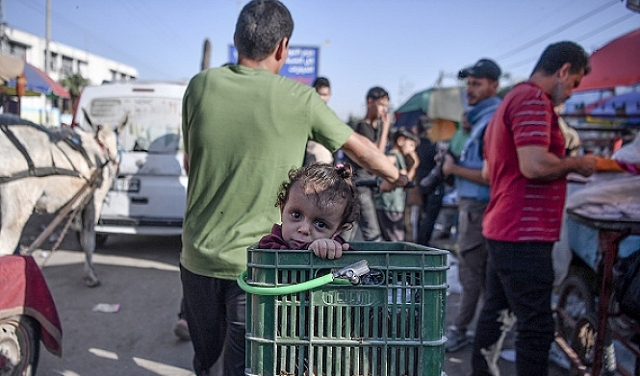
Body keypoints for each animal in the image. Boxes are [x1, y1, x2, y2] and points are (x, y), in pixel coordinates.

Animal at [0, 113, 122, 286]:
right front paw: (90, 275)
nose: (116, 164)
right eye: (117, 141)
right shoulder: (94, 202)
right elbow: (89, 240)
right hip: (18, 203)